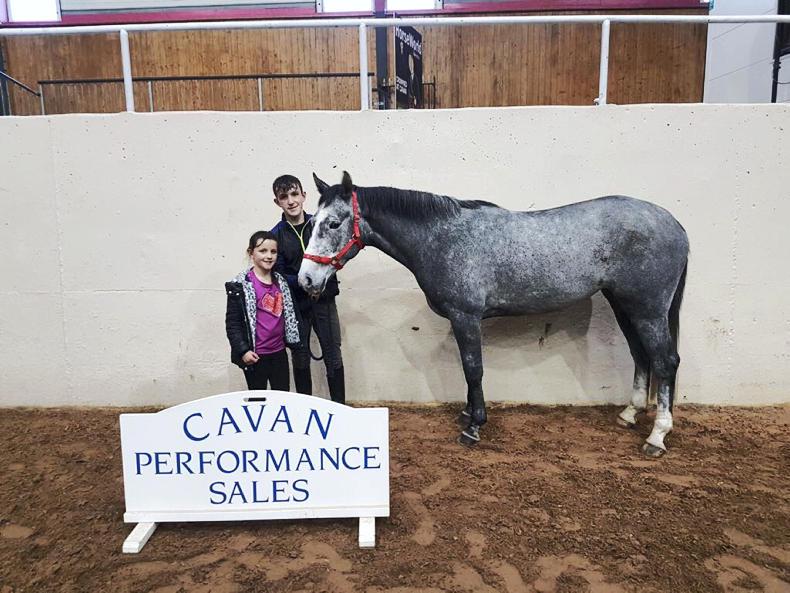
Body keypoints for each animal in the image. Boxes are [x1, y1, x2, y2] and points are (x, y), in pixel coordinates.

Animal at [298, 172, 689, 458]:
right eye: (311, 222)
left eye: (333, 224)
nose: (306, 280)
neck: (443, 238)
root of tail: (674, 224)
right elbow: (467, 368)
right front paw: (469, 413)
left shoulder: (466, 316)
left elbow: (473, 367)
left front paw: (474, 426)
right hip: (625, 305)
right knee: (641, 355)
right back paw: (629, 415)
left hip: (649, 309)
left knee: (665, 361)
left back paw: (657, 436)